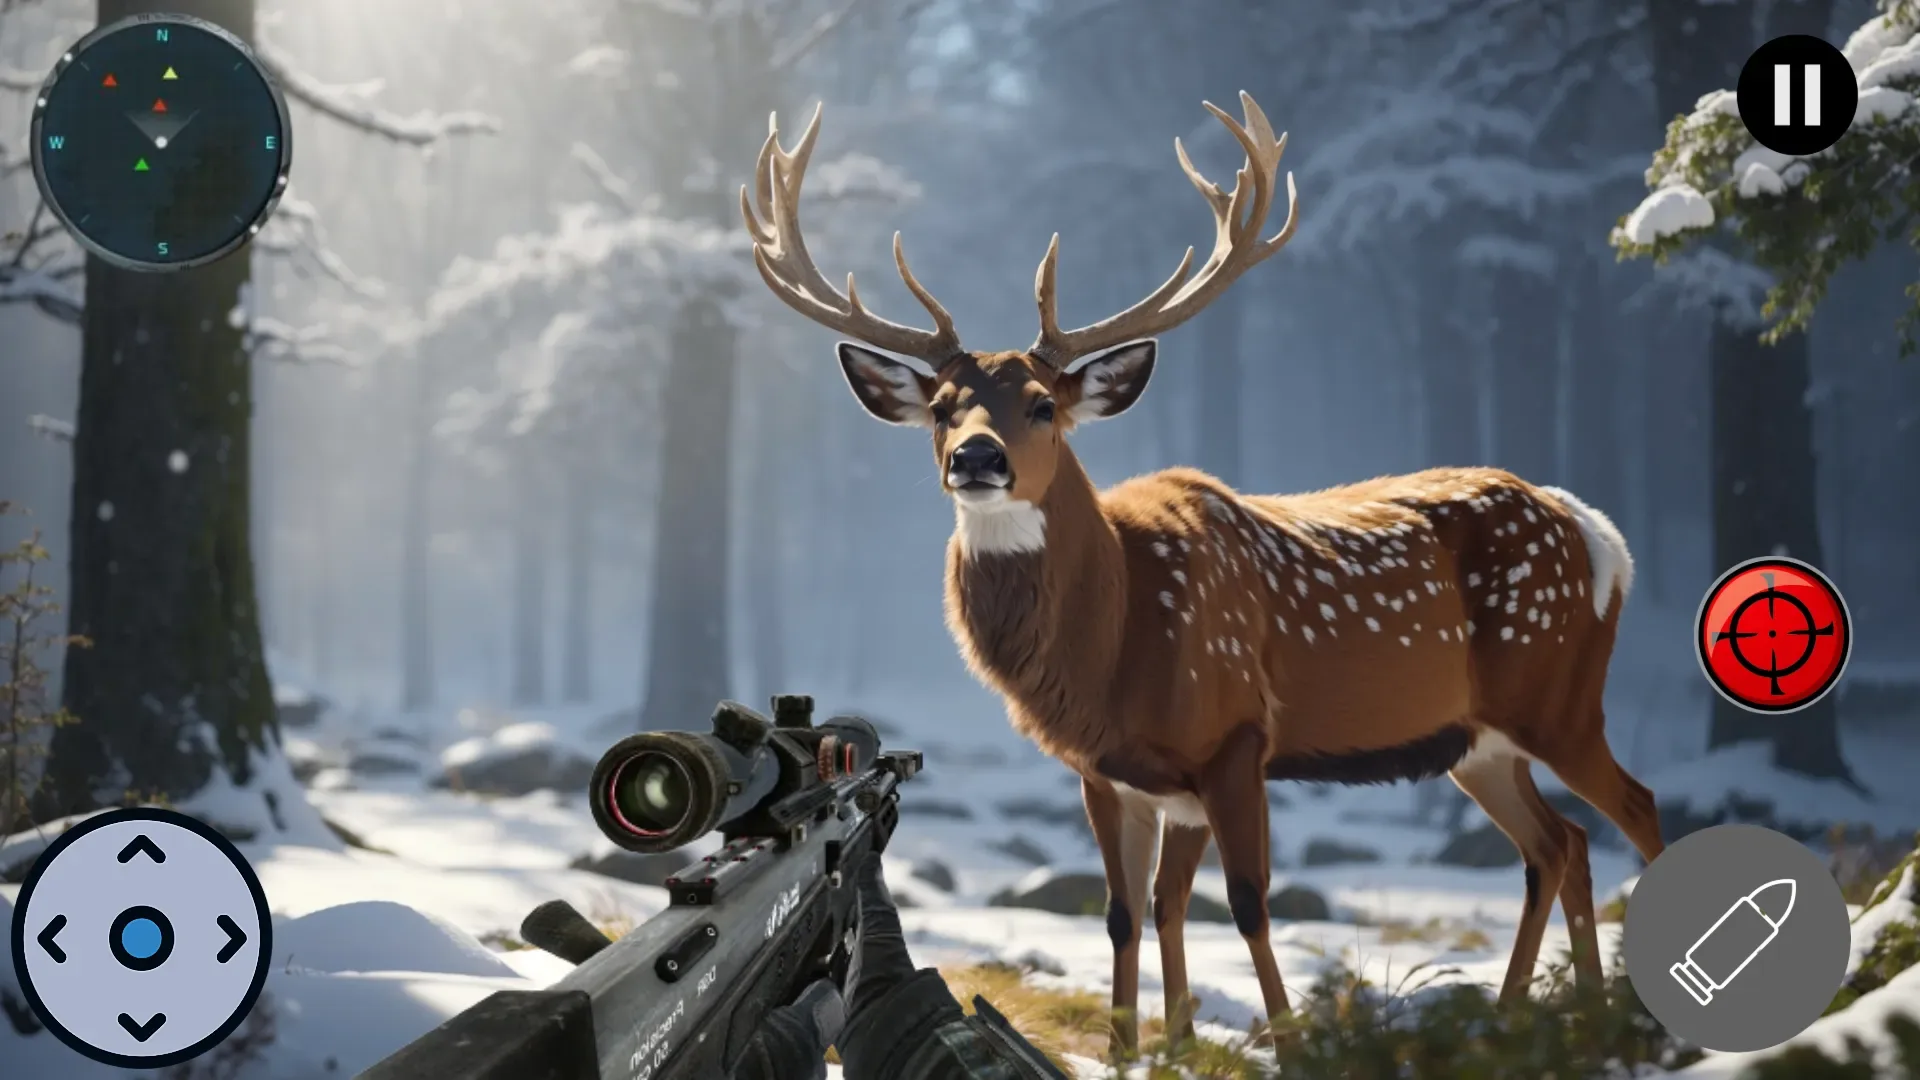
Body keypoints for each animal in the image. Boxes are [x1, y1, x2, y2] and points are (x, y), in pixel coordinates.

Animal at [741, 91, 1666, 1056]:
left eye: (1042, 406)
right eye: (941, 410)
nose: (977, 458)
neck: (1116, 642)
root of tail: (1599, 535)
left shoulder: (1235, 736)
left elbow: (1249, 906)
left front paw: (1289, 1046)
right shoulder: (1118, 775)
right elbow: (1137, 910)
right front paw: (1146, 1050)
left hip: (1557, 694)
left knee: (1635, 809)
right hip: (1478, 741)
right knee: (1558, 845)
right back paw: (1544, 1019)